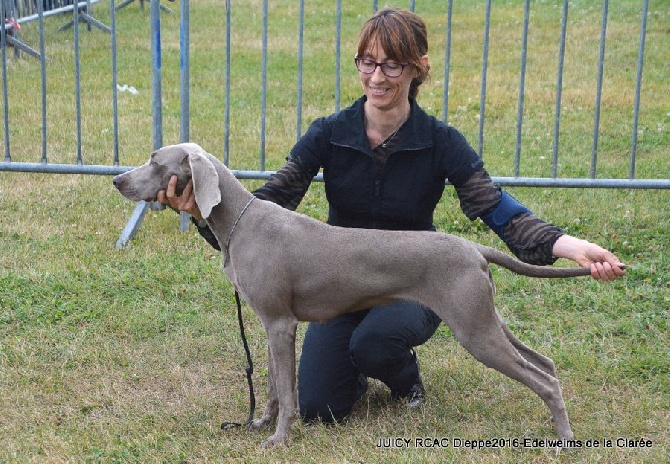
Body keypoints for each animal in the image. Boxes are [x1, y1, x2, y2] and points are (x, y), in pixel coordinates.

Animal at [115, 143, 592, 448]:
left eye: (154, 160)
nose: (118, 179)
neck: (239, 222)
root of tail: (474, 248)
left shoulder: (281, 324)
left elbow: (288, 390)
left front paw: (280, 439)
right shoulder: (269, 324)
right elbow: (271, 385)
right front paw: (261, 424)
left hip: (473, 327)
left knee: (544, 380)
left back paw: (564, 438)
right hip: (485, 317)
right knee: (546, 364)